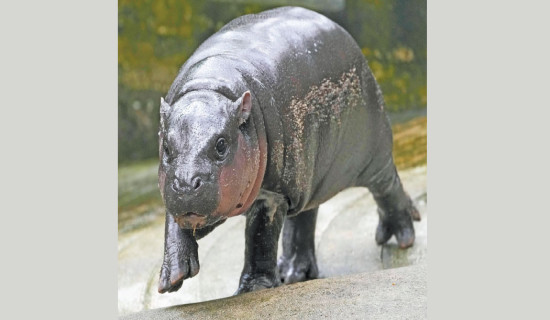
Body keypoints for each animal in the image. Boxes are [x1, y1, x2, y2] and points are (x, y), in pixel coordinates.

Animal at [157, 5, 420, 296]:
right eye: (166, 146)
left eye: (221, 144)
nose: (185, 184)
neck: (210, 88)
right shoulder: (173, 189)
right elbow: (174, 222)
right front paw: (172, 278)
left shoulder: (274, 193)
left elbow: (260, 237)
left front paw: (253, 289)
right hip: (309, 176)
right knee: (304, 218)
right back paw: (293, 273)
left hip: (372, 153)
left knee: (387, 186)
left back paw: (401, 237)